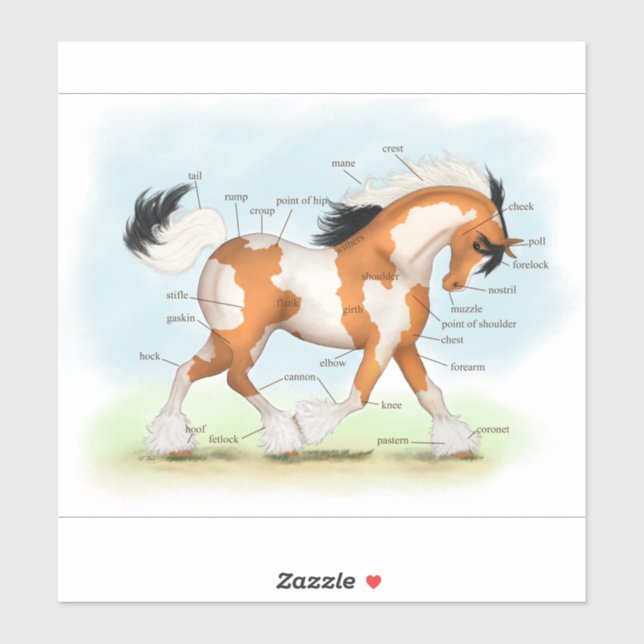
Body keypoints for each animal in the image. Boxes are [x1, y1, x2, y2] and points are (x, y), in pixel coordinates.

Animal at [123, 155, 522, 459]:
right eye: (479, 244)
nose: (453, 284)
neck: (394, 262)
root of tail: (220, 250)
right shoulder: (382, 343)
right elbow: (359, 396)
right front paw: (309, 426)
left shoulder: (404, 345)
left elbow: (431, 396)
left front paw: (459, 445)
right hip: (249, 337)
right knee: (235, 378)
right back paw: (286, 436)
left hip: (225, 338)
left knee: (186, 372)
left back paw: (173, 444)